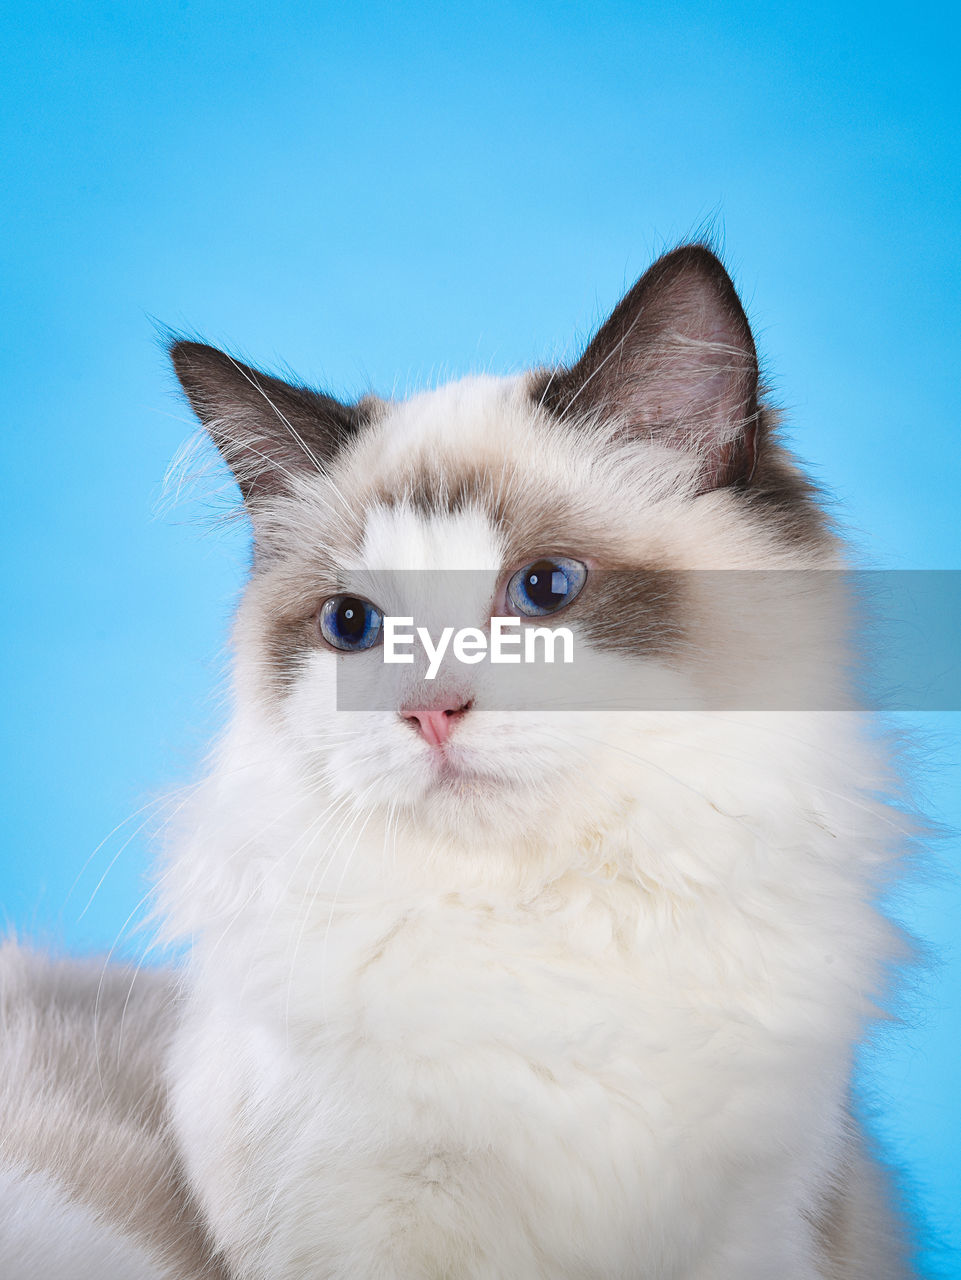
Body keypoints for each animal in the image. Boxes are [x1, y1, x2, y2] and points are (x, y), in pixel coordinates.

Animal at [0, 244, 916, 1274]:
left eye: (545, 588)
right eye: (351, 624)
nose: (431, 711)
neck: (534, 911)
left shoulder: (755, 1223)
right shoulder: (353, 1229)